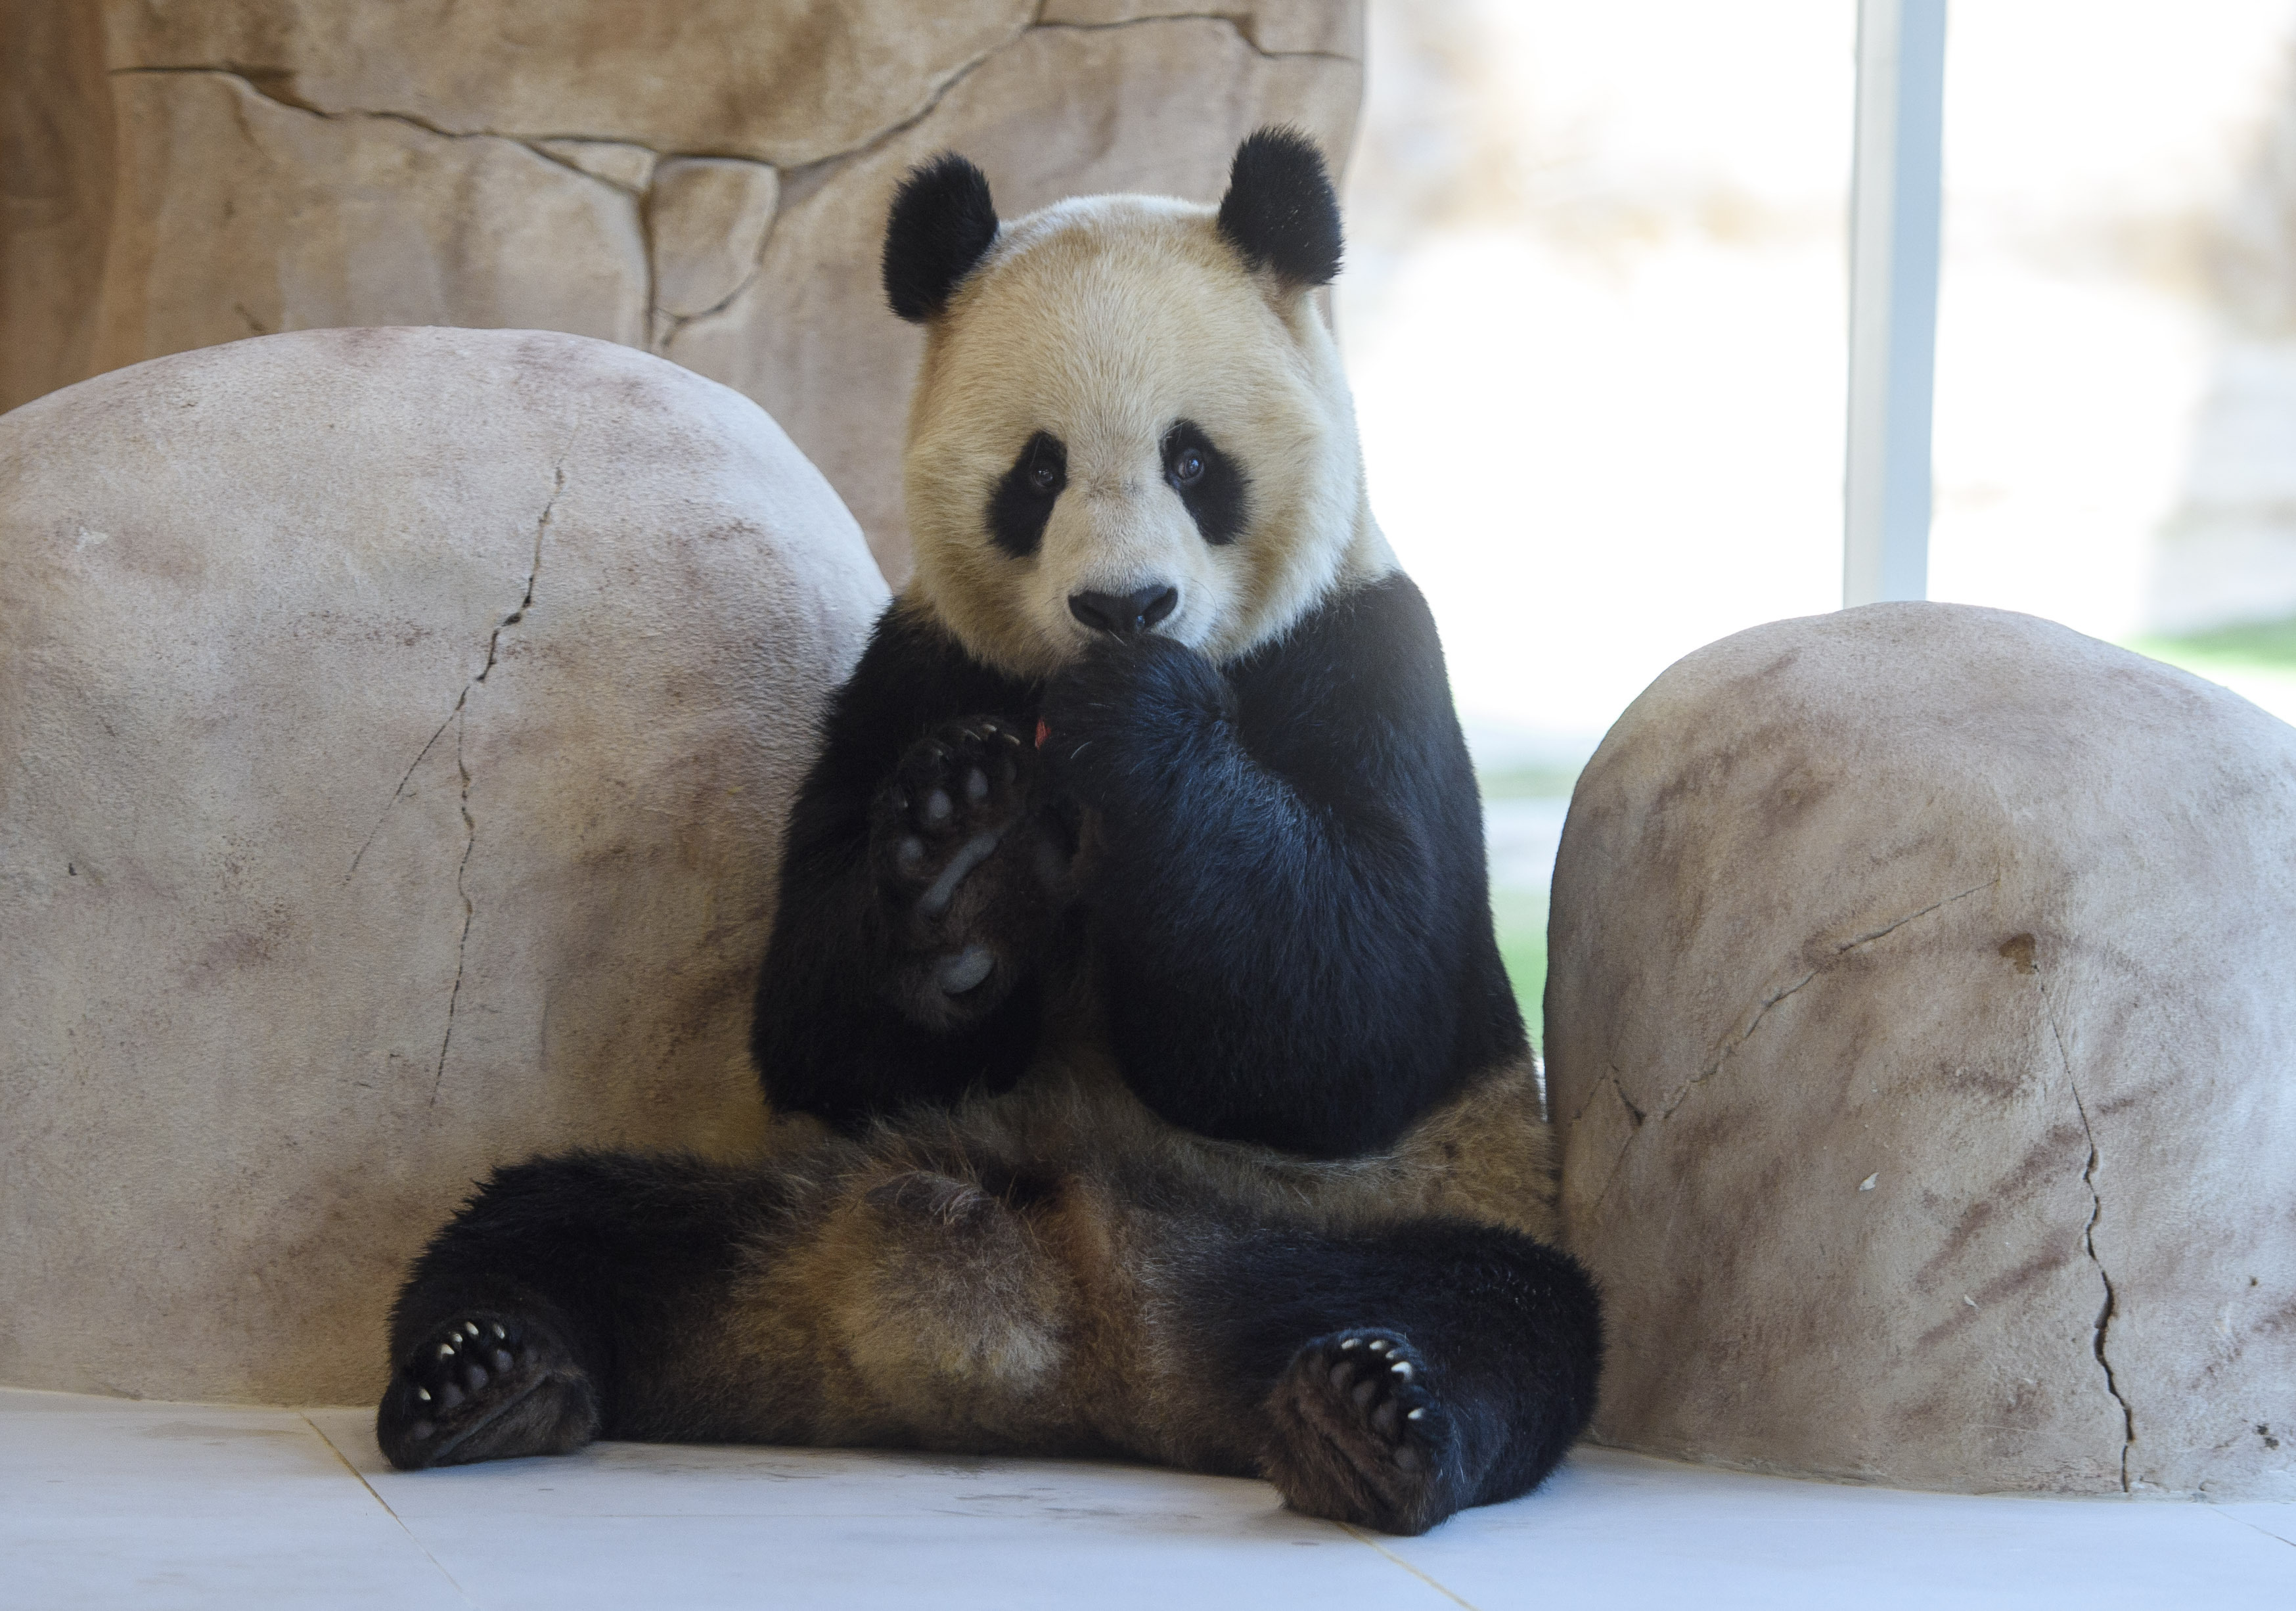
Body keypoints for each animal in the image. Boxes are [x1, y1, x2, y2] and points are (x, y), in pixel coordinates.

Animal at [372, 129, 1598, 1542]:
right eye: (1038, 471)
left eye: (1193, 461)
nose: (1125, 606)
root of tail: (1059, 1337)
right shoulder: (915, 670)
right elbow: (818, 1026)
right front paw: (967, 861)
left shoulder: (1364, 654)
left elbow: (1351, 1017)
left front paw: (1142, 727)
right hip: (783, 1188)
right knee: (550, 1214)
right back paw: (491, 1374)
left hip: (1372, 1218)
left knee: (1500, 1313)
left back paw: (1366, 1418)